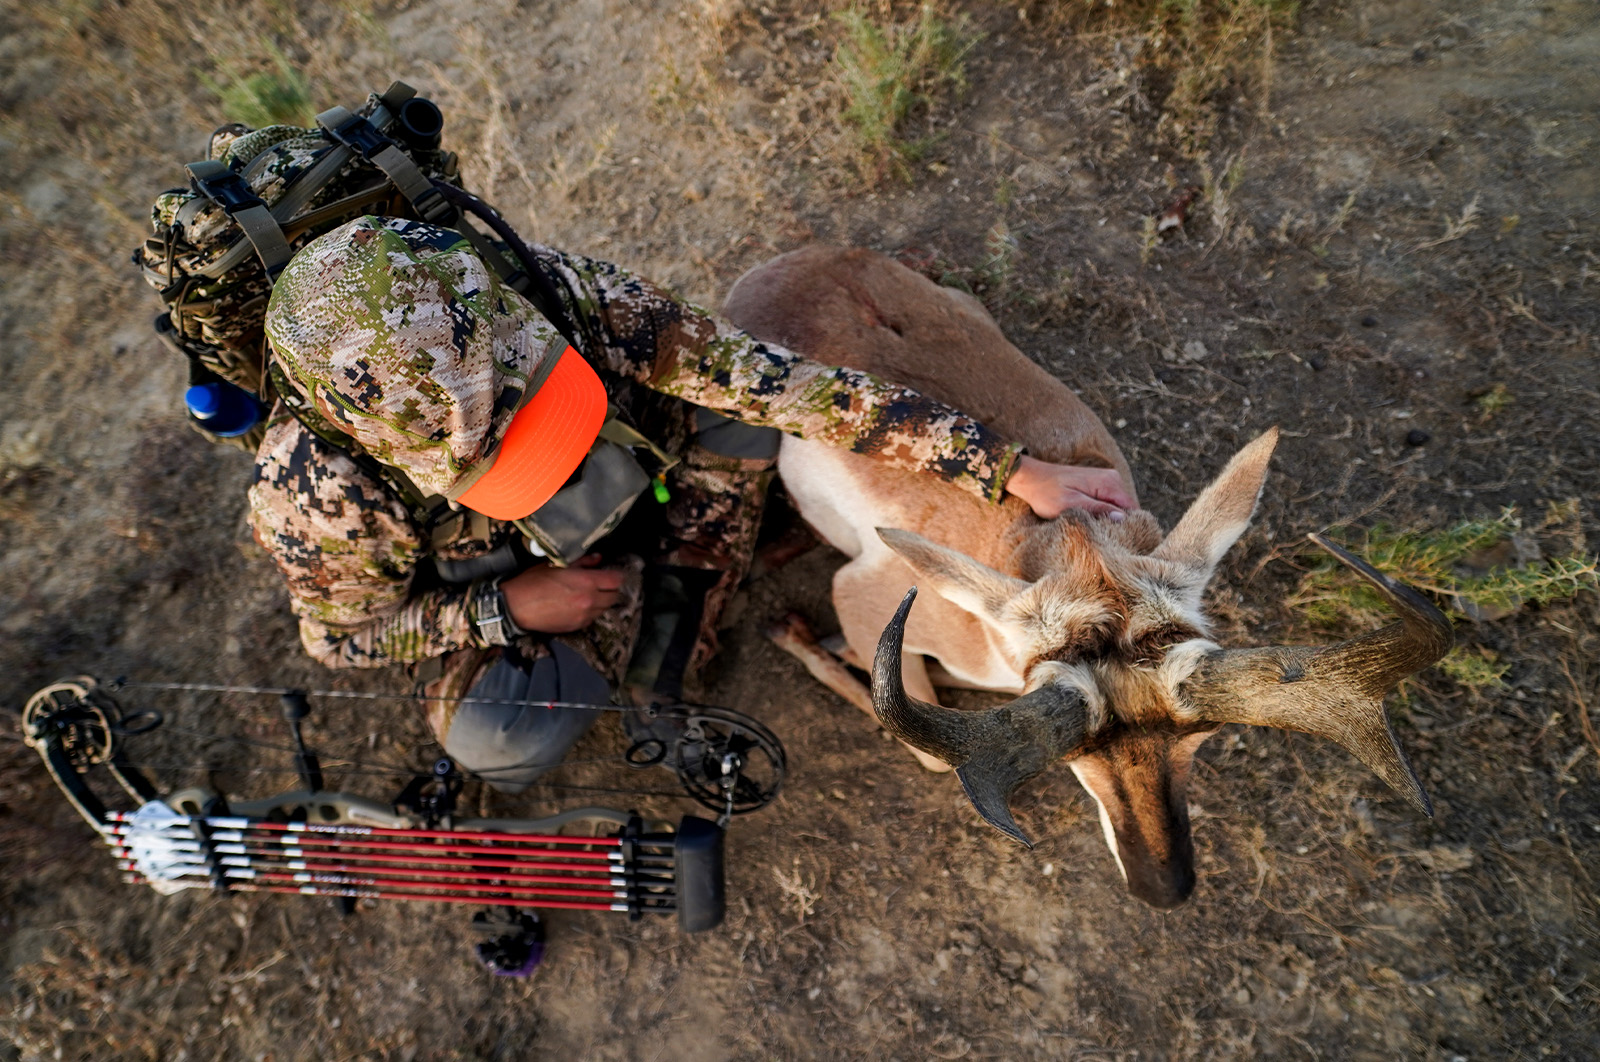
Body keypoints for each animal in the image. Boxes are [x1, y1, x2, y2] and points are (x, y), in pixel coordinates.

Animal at [732, 246, 1459, 902]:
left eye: (1204, 735)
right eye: (1075, 756)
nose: (1165, 889)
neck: (1073, 541)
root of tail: (793, 266)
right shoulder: (855, 593)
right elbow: (934, 754)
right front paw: (799, 632)